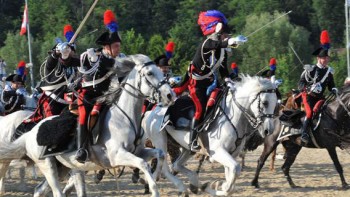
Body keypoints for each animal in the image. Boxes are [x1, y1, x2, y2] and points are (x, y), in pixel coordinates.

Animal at [0, 54, 176, 197]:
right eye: (150, 73)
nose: (170, 95)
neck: (123, 118)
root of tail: (30, 133)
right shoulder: (117, 156)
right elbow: (142, 163)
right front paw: (153, 188)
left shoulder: (138, 151)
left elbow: (160, 153)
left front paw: (156, 176)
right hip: (47, 166)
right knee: (56, 192)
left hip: (61, 168)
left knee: (39, 190)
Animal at [144, 75, 278, 195]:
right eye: (265, 103)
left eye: (275, 103)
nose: (269, 130)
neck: (233, 117)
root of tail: (152, 111)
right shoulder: (217, 152)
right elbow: (235, 169)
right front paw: (221, 187)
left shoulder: (232, 154)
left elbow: (231, 177)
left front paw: (218, 186)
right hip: (161, 141)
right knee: (165, 169)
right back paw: (180, 186)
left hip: (187, 149)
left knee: (176, 165)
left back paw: (195, 184)